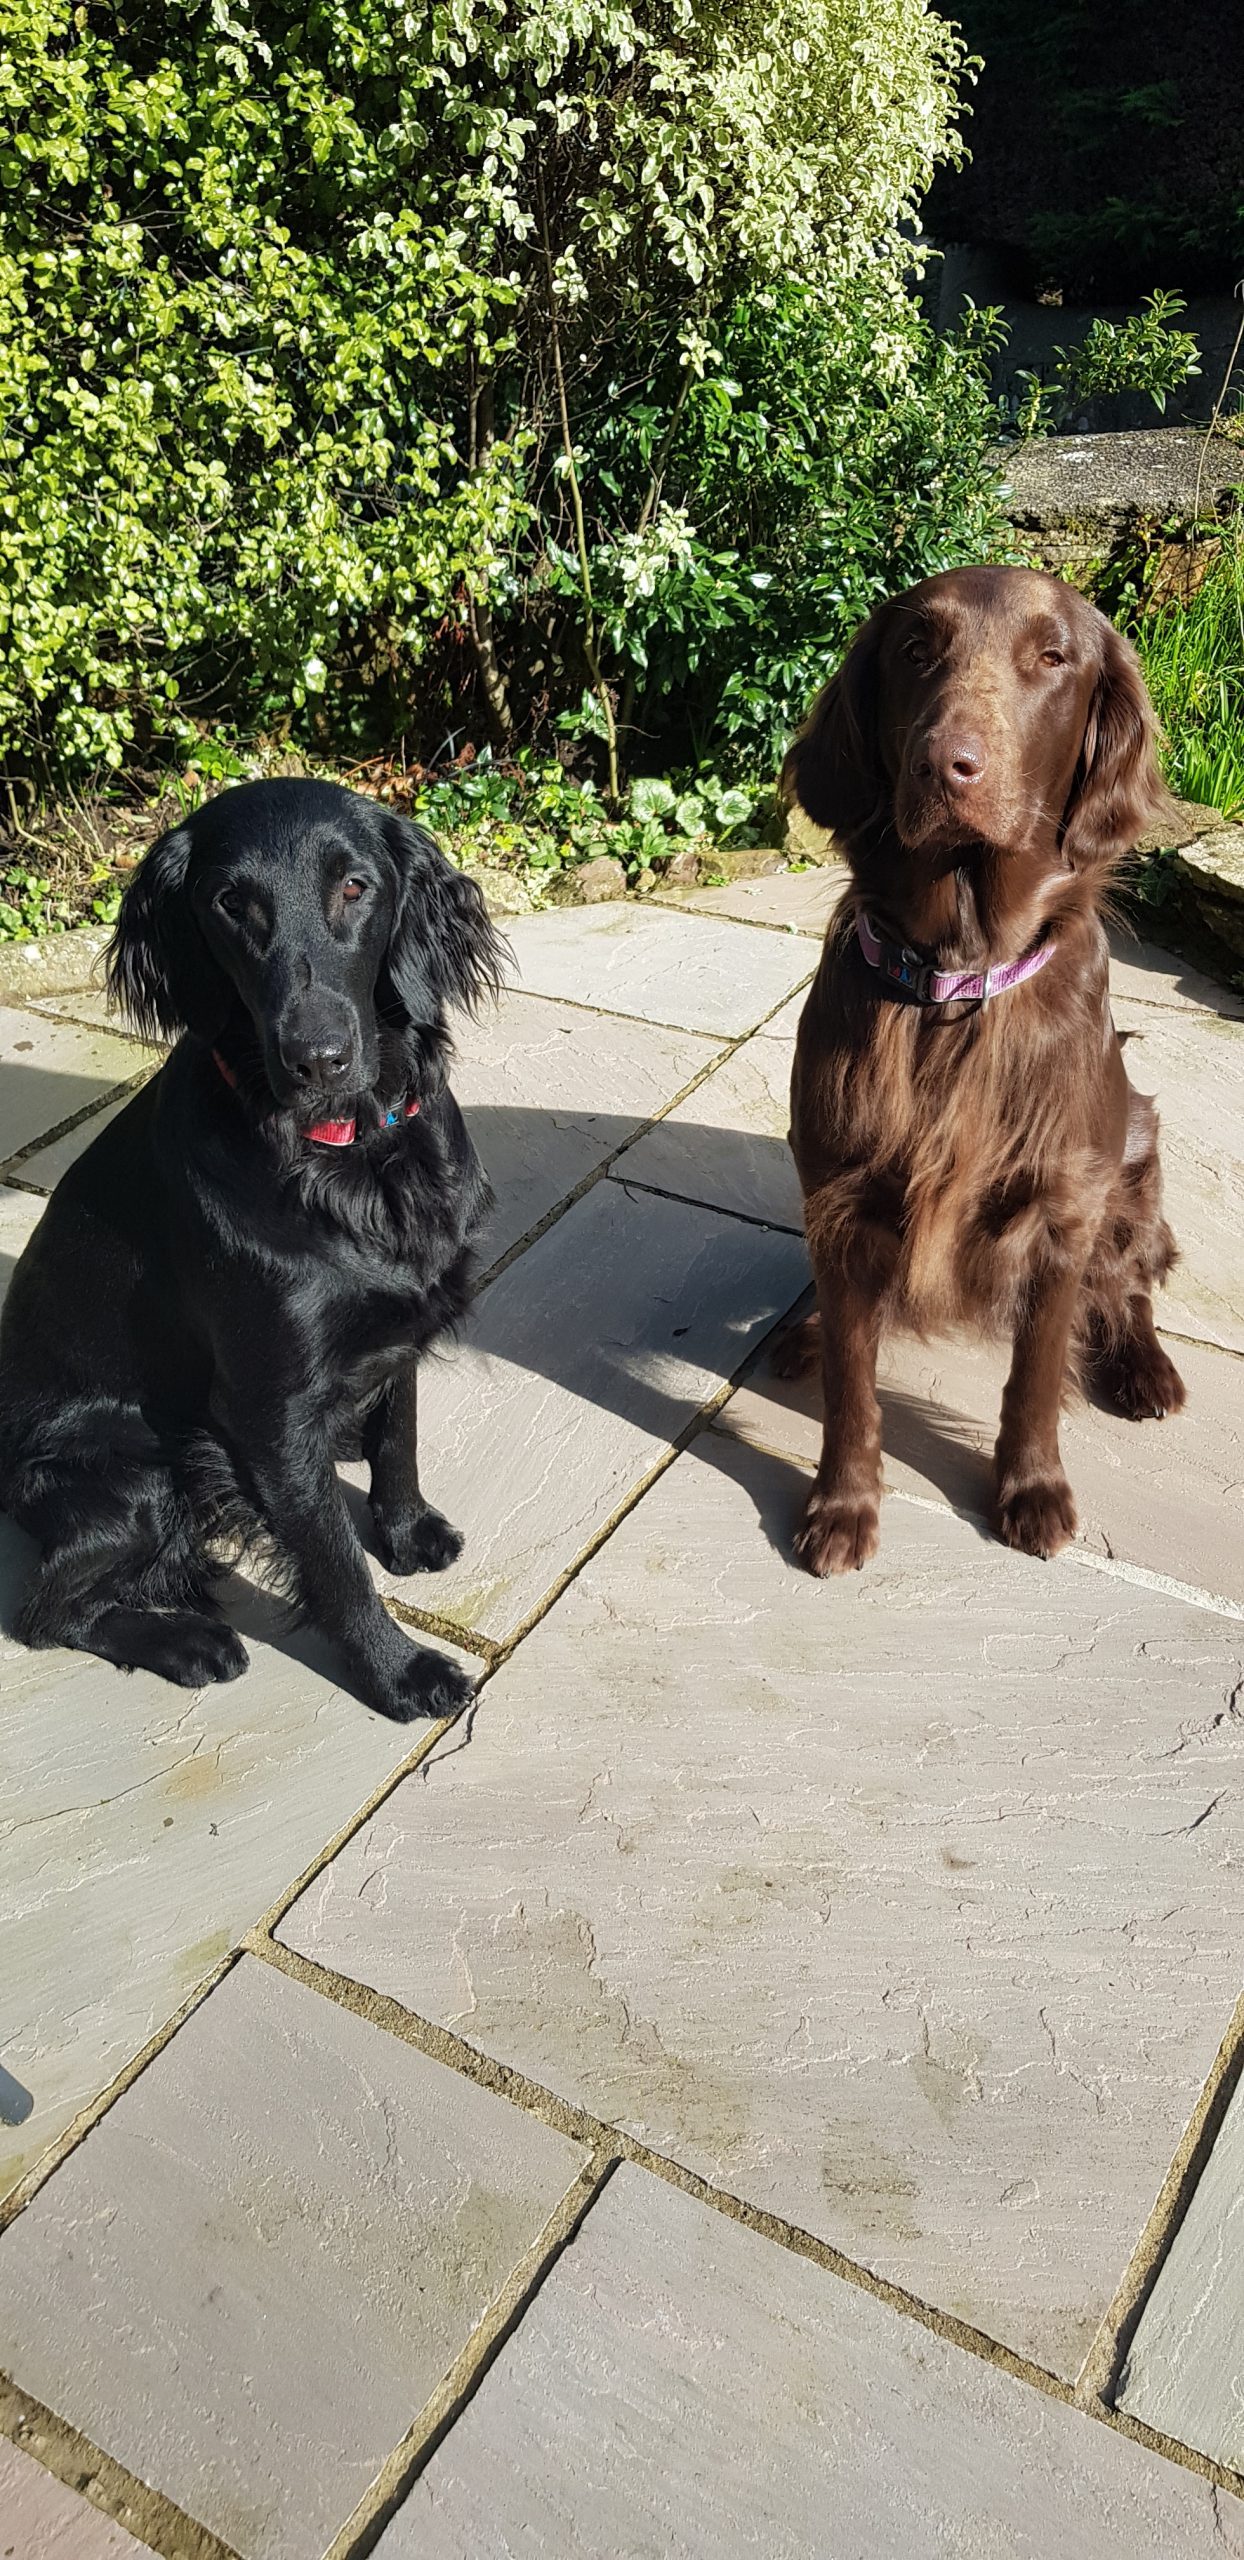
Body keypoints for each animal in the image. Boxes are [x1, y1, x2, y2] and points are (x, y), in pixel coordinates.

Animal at [1, 778, 504, 1730]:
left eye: (355, 886)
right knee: (46, 1612)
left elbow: (399, 1435)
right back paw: (190, 1643)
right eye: (231, 904)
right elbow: (336, 1563)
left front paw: (408, 1530)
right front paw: (400, 1671)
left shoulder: (398, 1331)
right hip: (140, 1477)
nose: (318, 1061)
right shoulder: (269, 1411)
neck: (347, 1157)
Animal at [783, 568, 1182, 1566]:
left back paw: (1147, 1368)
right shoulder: (840, 1198)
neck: (955, 984)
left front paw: (1031, 1489)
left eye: (1052, 657)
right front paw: (842, 1504)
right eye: (915, 650)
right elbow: (852, 1381)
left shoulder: (1062, 1213)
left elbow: (1035, 1375)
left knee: (1129, 1286)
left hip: (1139, 1151)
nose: (945, 766)